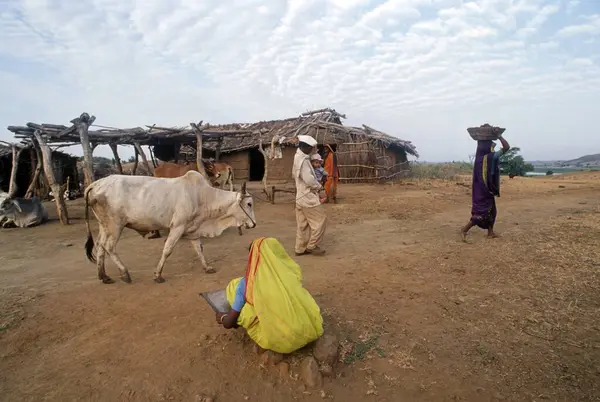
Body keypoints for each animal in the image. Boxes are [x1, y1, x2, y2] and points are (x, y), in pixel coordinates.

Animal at [83, 170, 256, 282]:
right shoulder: (178, 226)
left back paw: (104, 276)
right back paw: (125, 274)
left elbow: (199, 249)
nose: (254, 224)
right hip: (116, 225)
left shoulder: (192, 229)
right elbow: (167, 250)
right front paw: (158, 275)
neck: (202, 196)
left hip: (104, 226)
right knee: (109, 247)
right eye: (249, 204)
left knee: (100, 246)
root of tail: (97, 183)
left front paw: (207, 268)